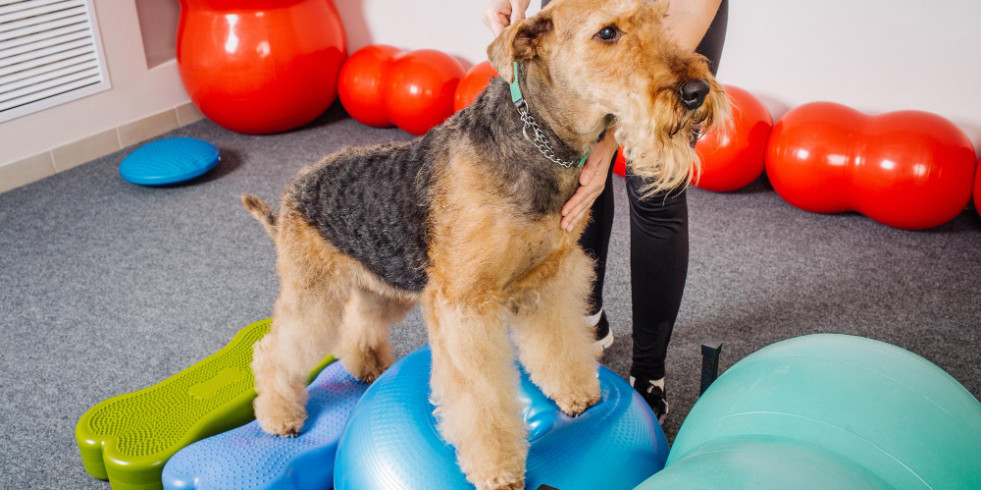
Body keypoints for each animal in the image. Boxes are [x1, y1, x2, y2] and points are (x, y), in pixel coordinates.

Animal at [241, 1, 724, 488]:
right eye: (607, 32)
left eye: (661, 18)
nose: (697, 90)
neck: (537, 140)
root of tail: (292, 194)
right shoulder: (464, 304)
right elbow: (481, 396)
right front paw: (498, 469)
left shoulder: (548, 280)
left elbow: (559, 345)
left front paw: (577, 394)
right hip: (314, 293)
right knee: (275, 350)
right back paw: (280, 416)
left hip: (385, 282)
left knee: (358, 325)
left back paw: (367, 366)